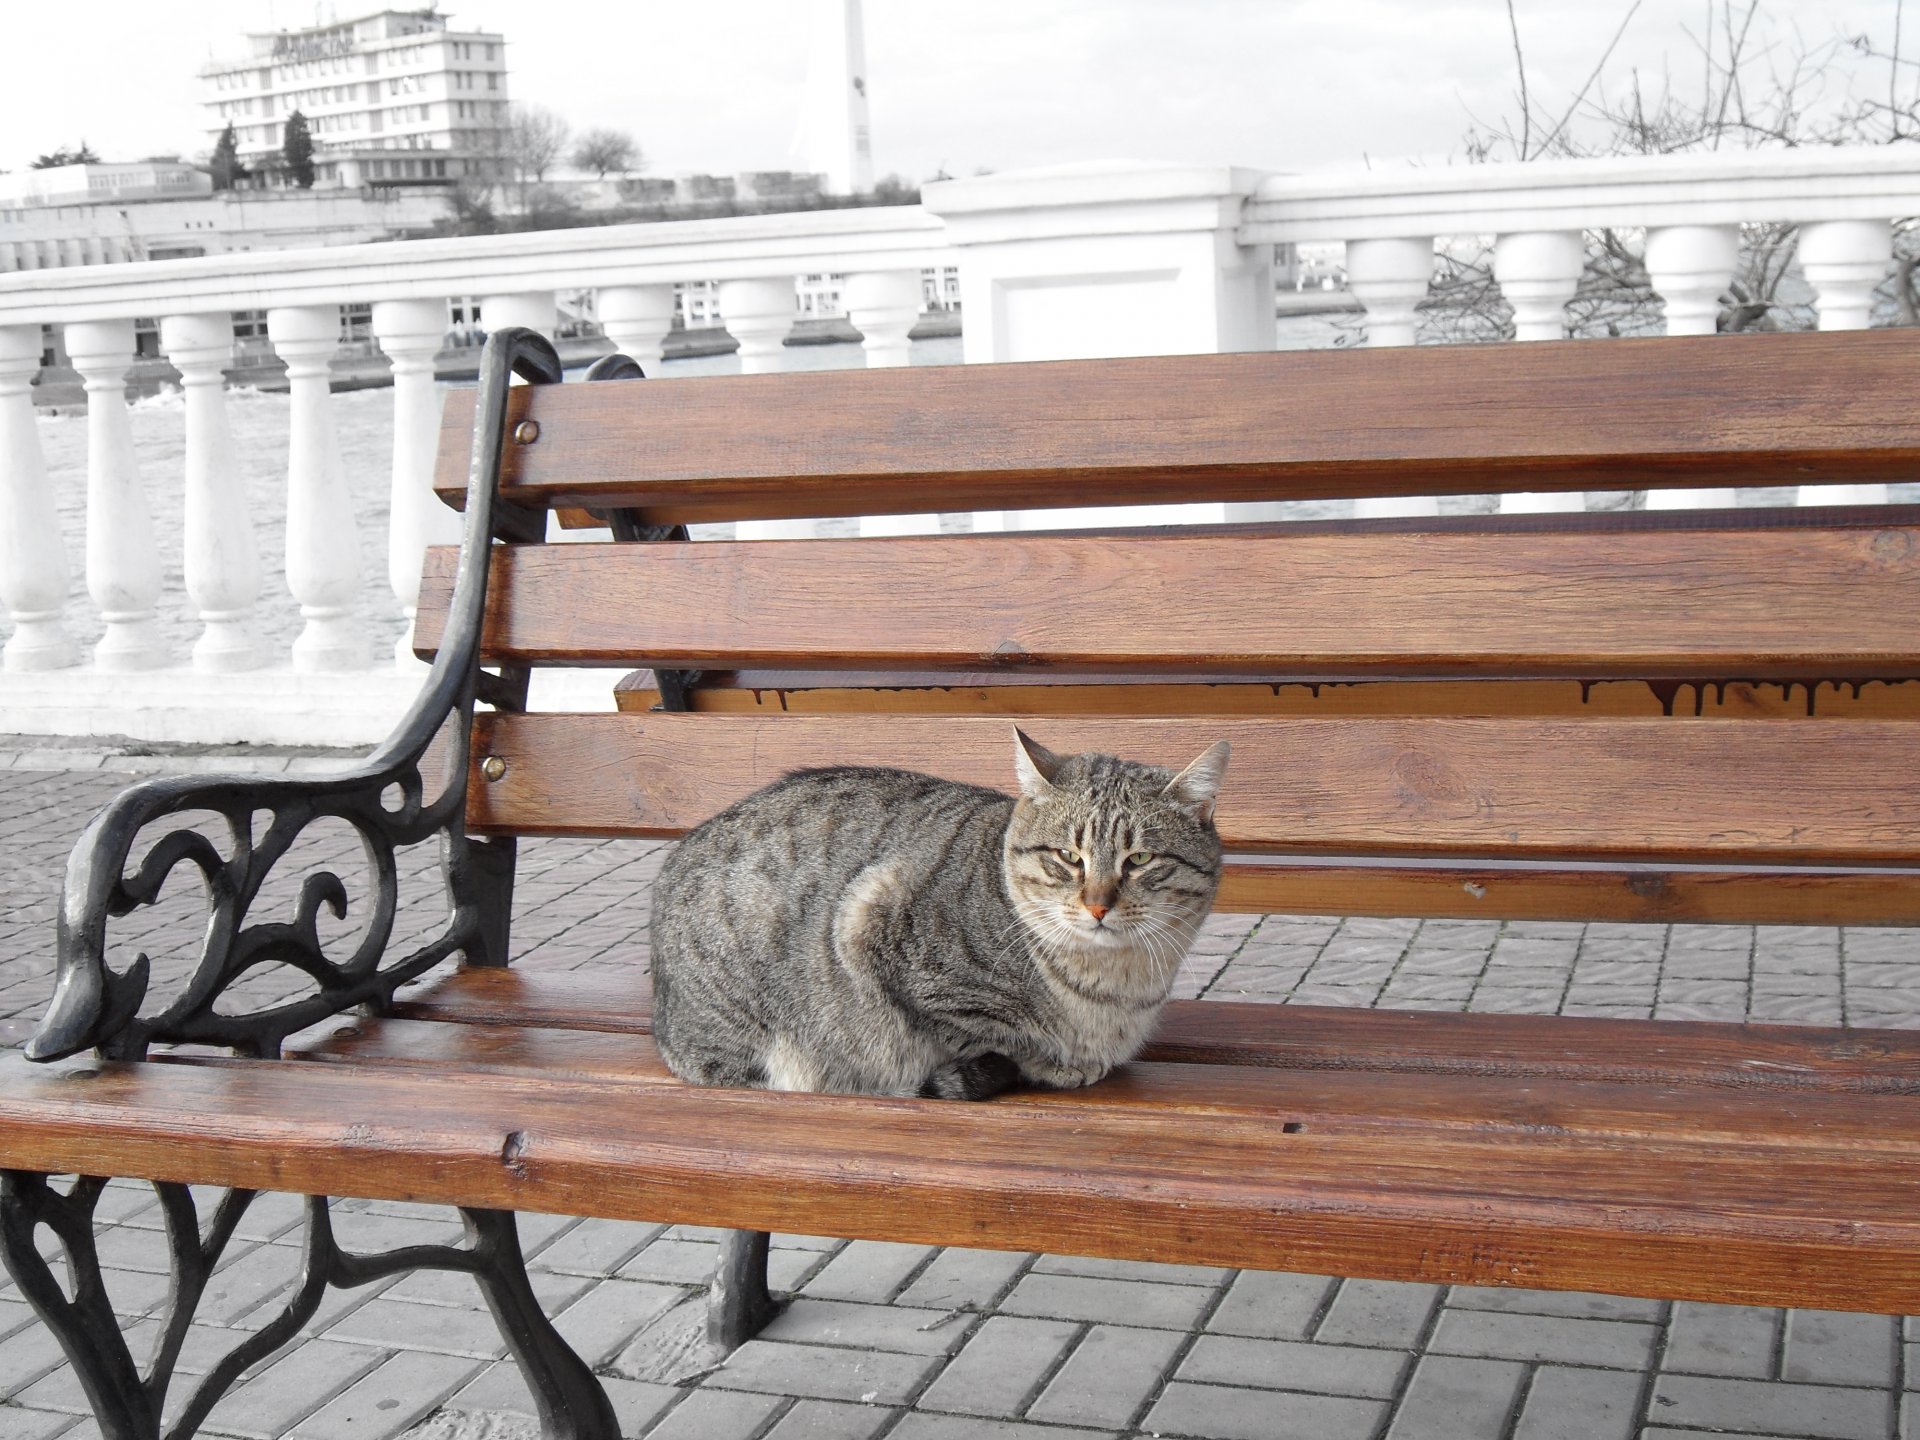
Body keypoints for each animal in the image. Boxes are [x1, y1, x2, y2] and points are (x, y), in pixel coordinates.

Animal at [648, 733, 1228, 1105]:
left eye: (1139, 859)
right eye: (1068, 857)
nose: (1098, 904)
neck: (1116, 984)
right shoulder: (874, 923)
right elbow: (996, 1033)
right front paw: (1056, 1063)